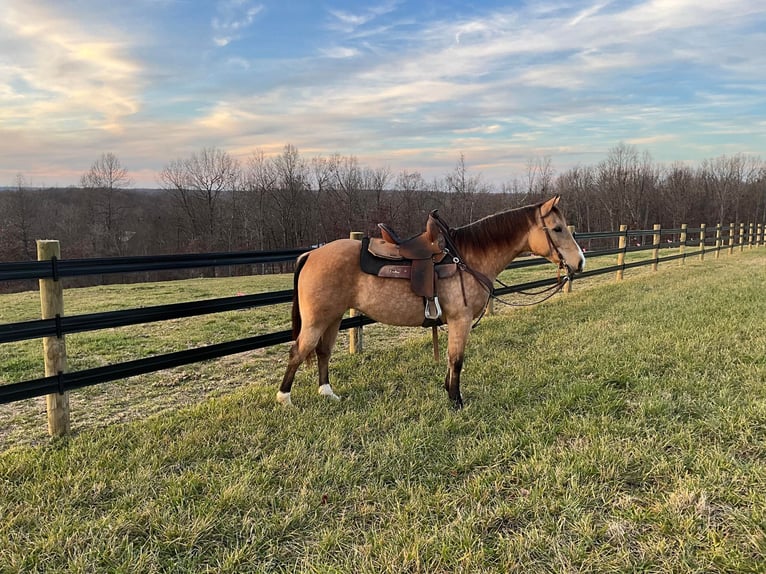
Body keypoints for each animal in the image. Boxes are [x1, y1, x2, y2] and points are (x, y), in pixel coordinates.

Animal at [280, 197, 584, 410]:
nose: (580, 262)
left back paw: (327, 393)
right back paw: (284, 399)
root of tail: (311, 254)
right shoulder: (461, 321)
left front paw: (448, 391)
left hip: (333, 318)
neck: (467, 258)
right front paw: (456, 401)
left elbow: (451, 360)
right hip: (317, 320)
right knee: (298, 352)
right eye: (557, 229)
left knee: (323, 353)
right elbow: (457, 360)